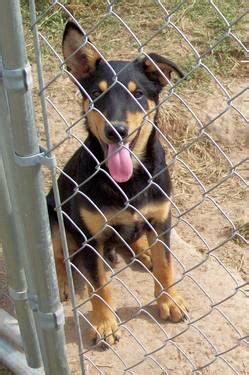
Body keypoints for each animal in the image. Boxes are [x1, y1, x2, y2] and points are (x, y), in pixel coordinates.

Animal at [46, 21, 187, 346]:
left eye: (138, 94)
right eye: (96, 95)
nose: (116, 131)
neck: (129, 179)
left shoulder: (162, 218)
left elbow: (165, 265)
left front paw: (169, 300)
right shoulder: (89, 237)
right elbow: (100, 287)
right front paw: (104, 323)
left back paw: (143, 250)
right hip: (55, 214)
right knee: (59, 254)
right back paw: (62, 283)